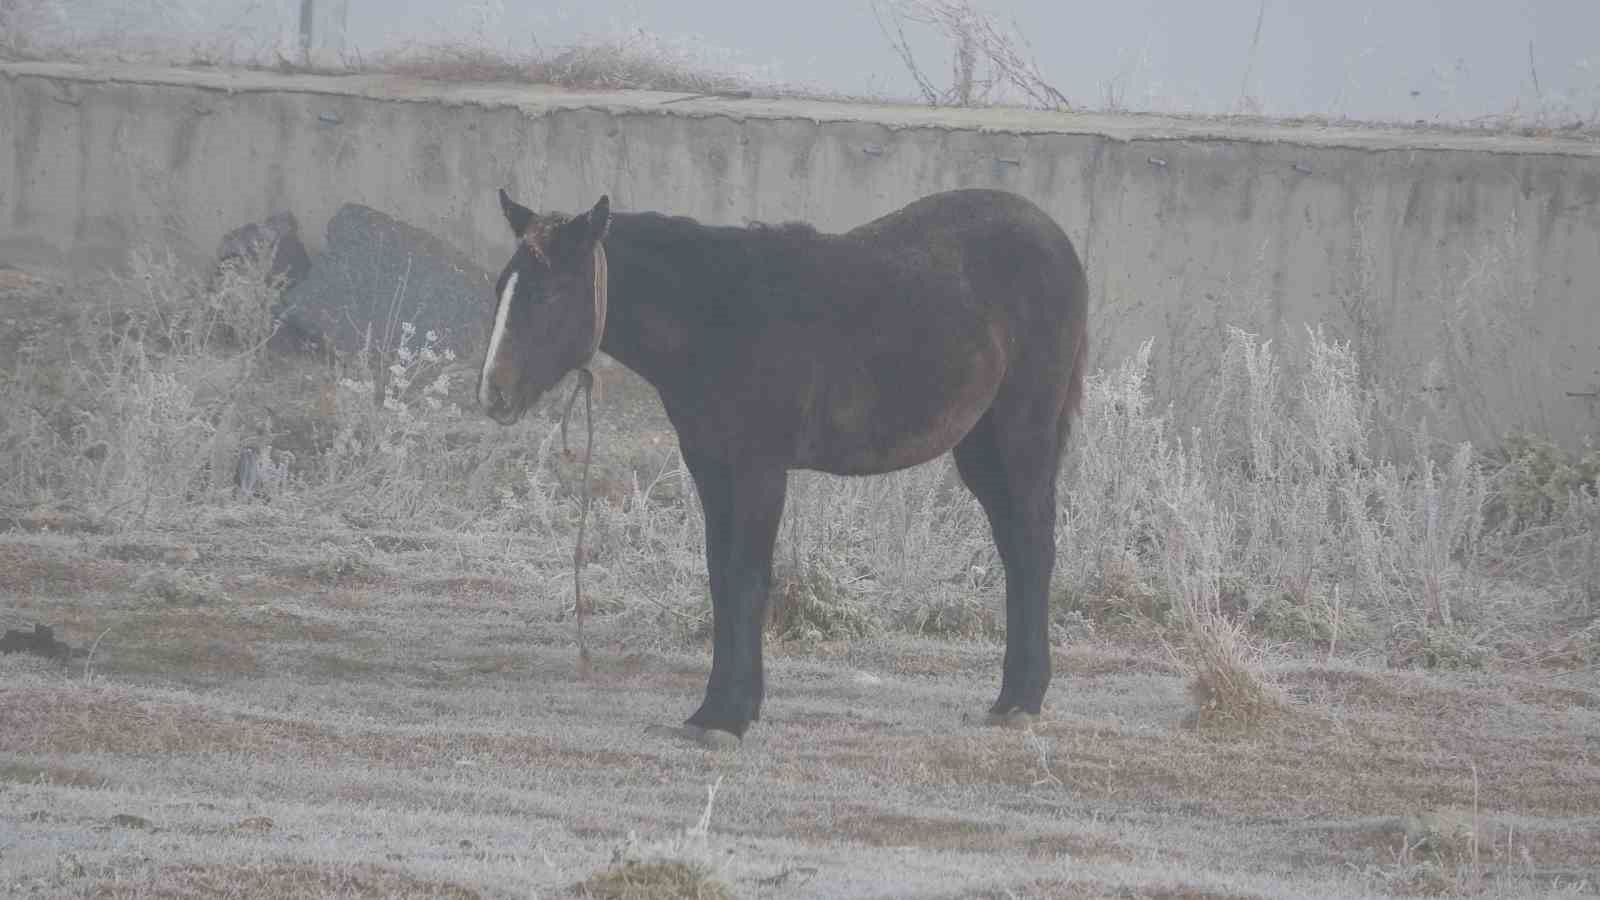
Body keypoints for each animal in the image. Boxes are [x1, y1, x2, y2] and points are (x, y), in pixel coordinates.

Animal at [476, 187, 1088, 743]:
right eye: (503, 288)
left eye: (552, 292)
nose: (493, 393)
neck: (716, 319)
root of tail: (1054, 236)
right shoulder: (712, 467)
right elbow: (722, 578)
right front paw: (720, 710)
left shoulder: (759, 469)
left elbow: (747, 580)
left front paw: (725, 719)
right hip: (980, 448)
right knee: (1015, 549)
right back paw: (1010, 697)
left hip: (1023, 434)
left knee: (1033, 547)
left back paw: (1023, 700)